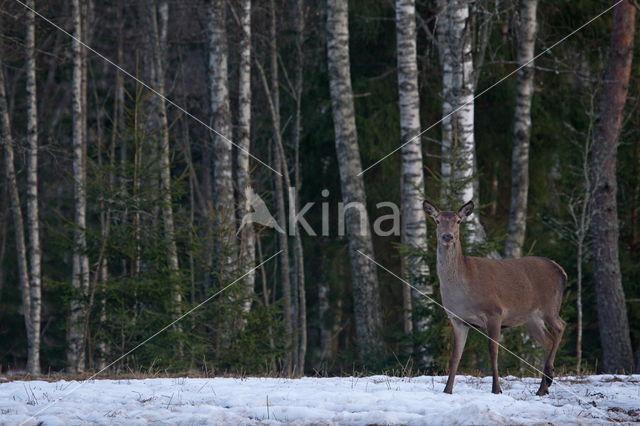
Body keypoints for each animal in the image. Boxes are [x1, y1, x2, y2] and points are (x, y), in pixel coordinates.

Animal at [424, 200, 564, 396]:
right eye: (437, 220)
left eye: (458, 221)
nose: (447, 236)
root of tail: (560, 269)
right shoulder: (458, 319)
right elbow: (455, 356)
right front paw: (447, 390)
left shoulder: (495, 312)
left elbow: (493, 352)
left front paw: (497, 389)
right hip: (531, 318)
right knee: (548, 341)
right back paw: (543, 388)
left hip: (550, 306)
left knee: (560, 327)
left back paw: (549, 376)